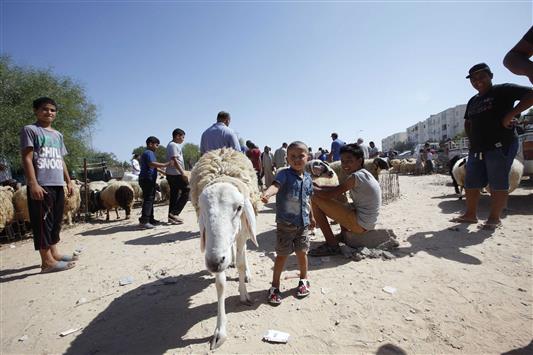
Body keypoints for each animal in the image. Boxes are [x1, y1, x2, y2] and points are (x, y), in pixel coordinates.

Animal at [189, 148, 260, 350]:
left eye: (239, 207)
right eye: (202, 209)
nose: (214, 262)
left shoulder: (242, 234)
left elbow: (242, 264)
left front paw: (243, 294)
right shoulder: (215, 250)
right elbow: (220, 284)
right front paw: (220, 331)